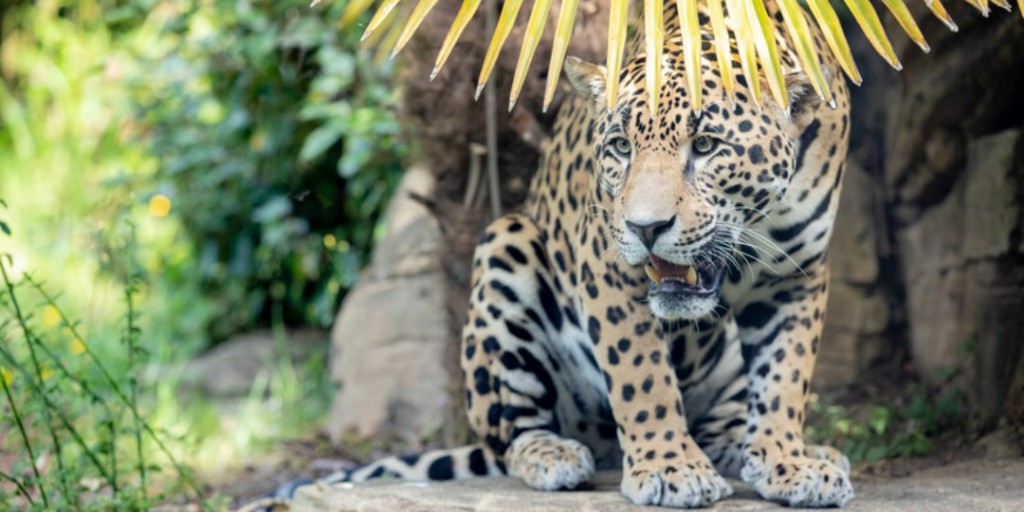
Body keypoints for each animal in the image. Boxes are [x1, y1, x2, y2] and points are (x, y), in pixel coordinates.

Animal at [253, 0, 855, 508]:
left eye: (706, 147)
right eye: (620, 148)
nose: (645, 227)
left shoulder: (796, 274)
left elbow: (785, 376)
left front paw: (788, 462)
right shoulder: (608, 272)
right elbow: (643, 377)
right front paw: (669, 467)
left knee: (721, 421)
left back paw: (779, 451)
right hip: (506, 250)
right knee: (512, 434)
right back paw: (556, 456)